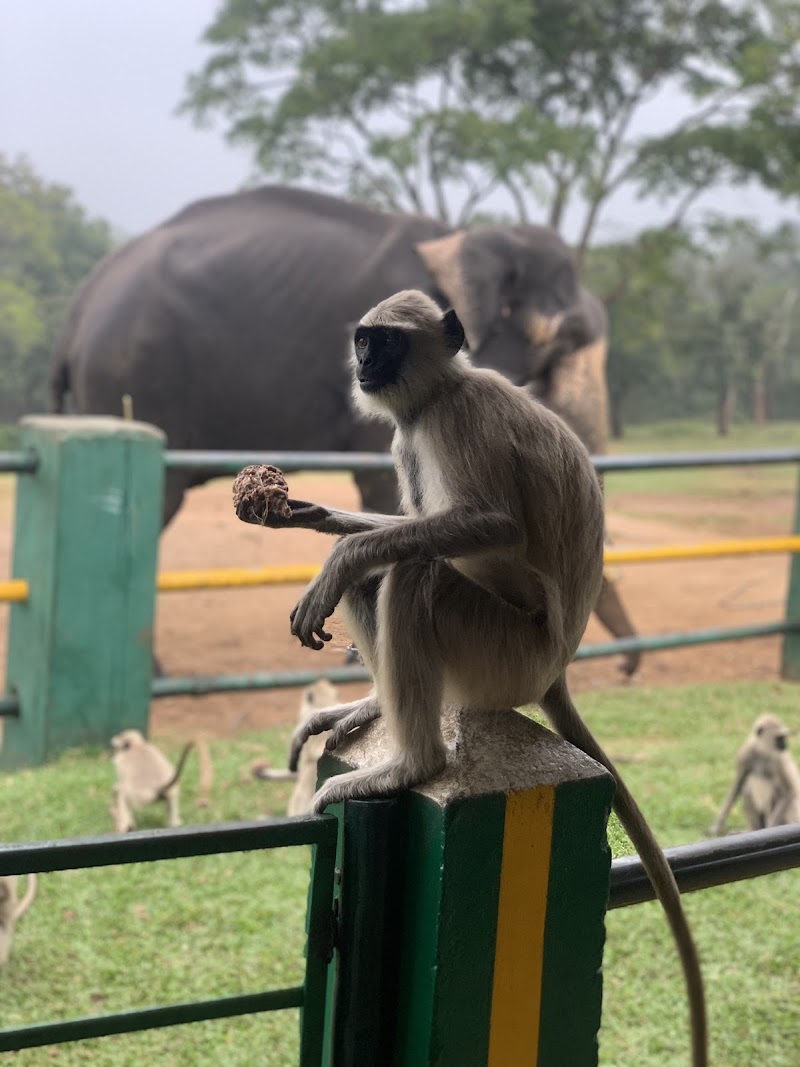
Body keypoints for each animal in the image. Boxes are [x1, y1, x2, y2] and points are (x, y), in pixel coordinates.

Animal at [50, 184, 639, 674]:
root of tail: (75, 312)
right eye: (564, 342)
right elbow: (385, 486)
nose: (627, 668)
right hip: (133, 381)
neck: (463, 235)